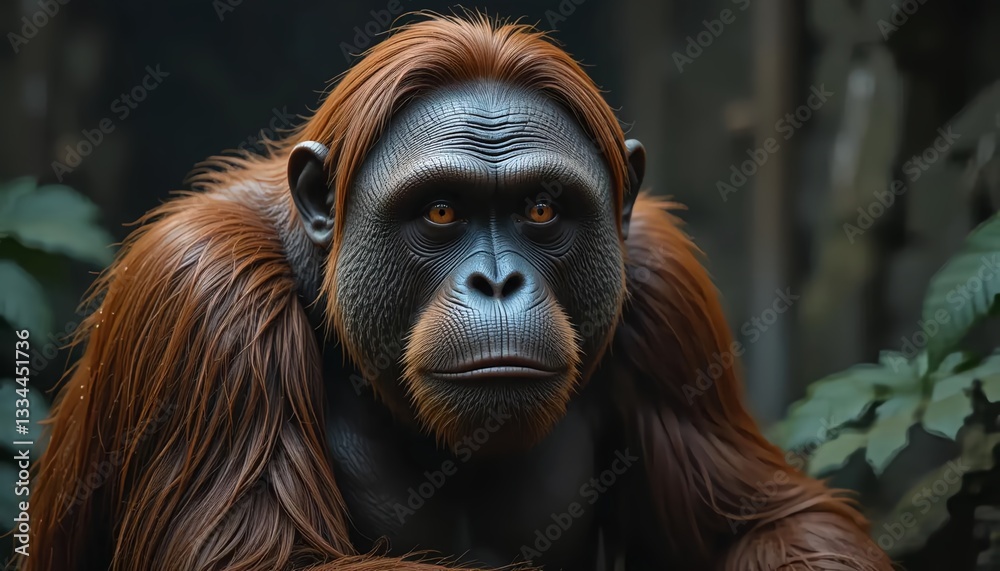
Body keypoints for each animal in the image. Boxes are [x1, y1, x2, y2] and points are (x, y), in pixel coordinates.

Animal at [23, 13, 893, 571]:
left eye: (541, 209)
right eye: (441, 211)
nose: (497, 279)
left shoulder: (663, 286)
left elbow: (766, 520)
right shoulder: (204, 295)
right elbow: (258, 561)